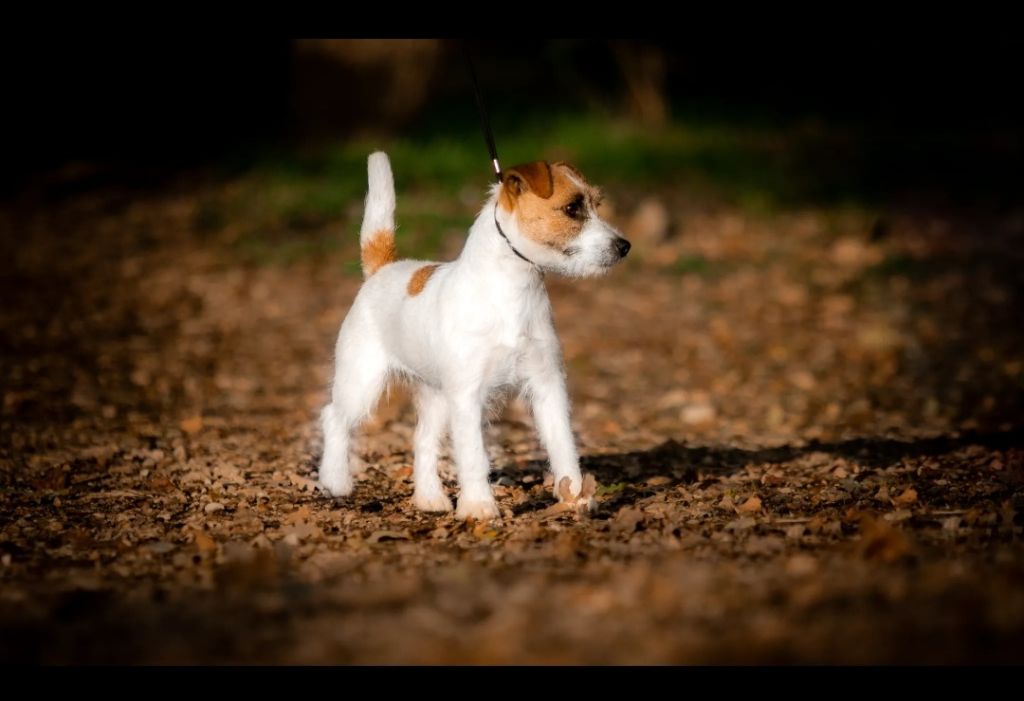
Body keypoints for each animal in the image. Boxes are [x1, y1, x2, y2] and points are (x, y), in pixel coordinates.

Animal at [315, 149, 626, 519]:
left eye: (596, 203)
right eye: (572, 208)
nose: (624, 246)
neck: (510, 293)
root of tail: (383, 269)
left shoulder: (547, 386)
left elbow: (563, 445)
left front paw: (575, 496)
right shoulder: (467, 396)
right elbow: (474, 456)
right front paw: (479, 507)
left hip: (435, 395)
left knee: (422, 440)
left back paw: (429, 498)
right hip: (361, 381)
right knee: (334, 418)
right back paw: (335, 481)